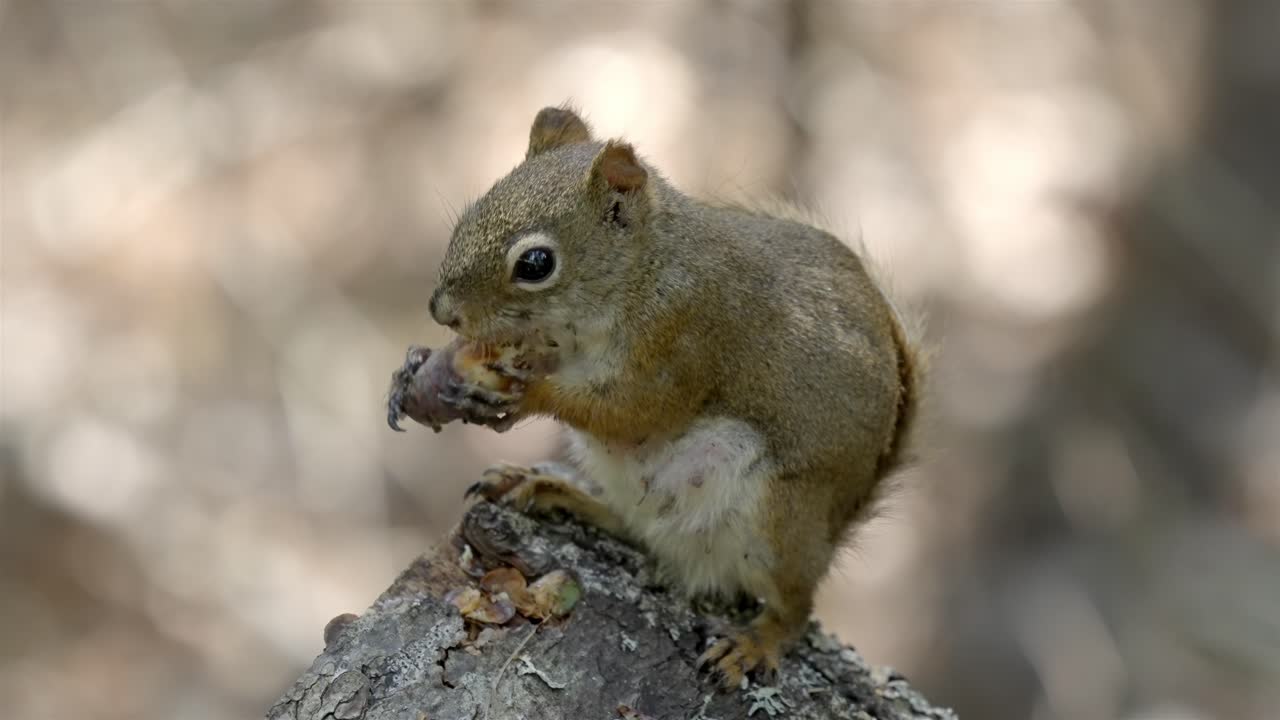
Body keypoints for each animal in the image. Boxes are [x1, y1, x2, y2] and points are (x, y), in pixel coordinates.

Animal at [415, 104, 924, 690]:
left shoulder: (681, 341)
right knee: (634, 525)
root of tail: (834, 527)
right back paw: (548, 487)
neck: (643, 270)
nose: (442, 310)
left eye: (536, 264)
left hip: (781, 517)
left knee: (795, 607)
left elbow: (632, 410)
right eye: (475, 209)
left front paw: (526, 393)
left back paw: (756, 642)